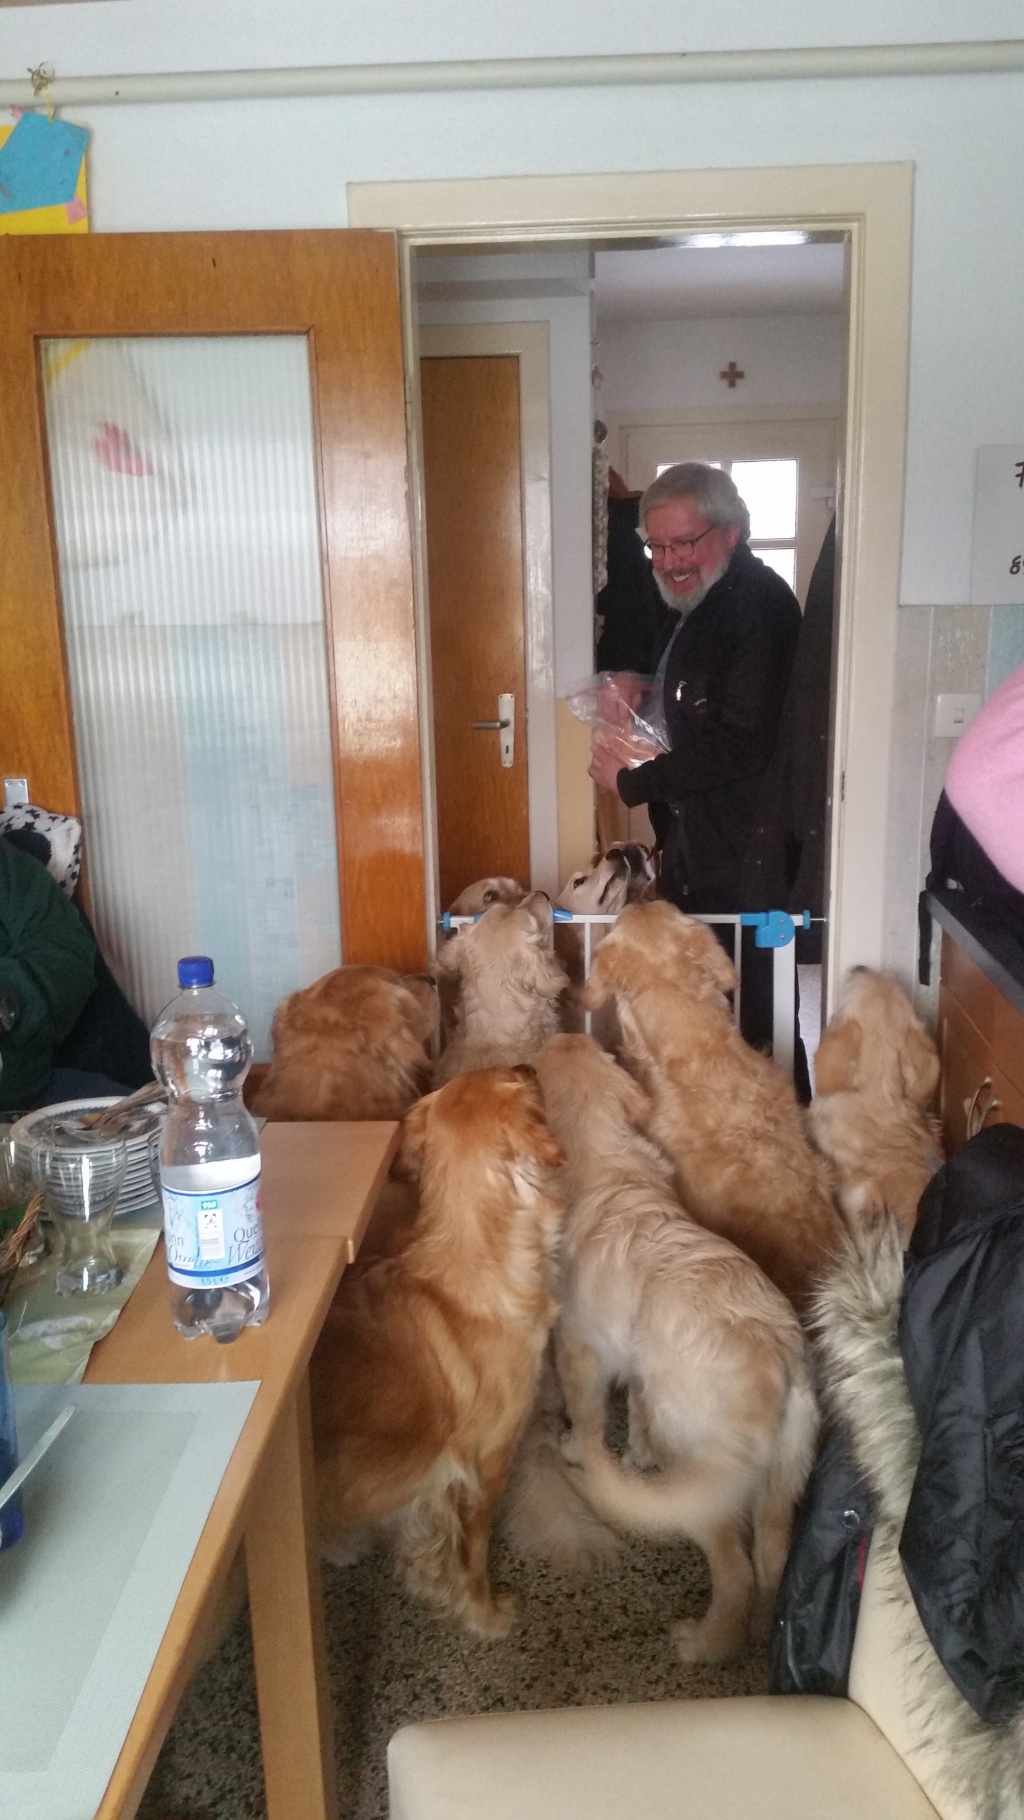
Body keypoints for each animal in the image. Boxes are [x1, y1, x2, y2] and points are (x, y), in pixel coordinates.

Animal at [519, 1034, 817, 1662]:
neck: (603, 1160)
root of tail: (779, 1361)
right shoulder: (639, 1359)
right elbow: (635, 1406)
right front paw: (637, 1452)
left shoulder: (579, 1348)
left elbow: (587, 1415)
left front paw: (581, 1451)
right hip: (783, 1476)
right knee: (771, 1559)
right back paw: (761, 1635)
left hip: (704, 1473)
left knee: (735, 1571)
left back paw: (704, 1645)